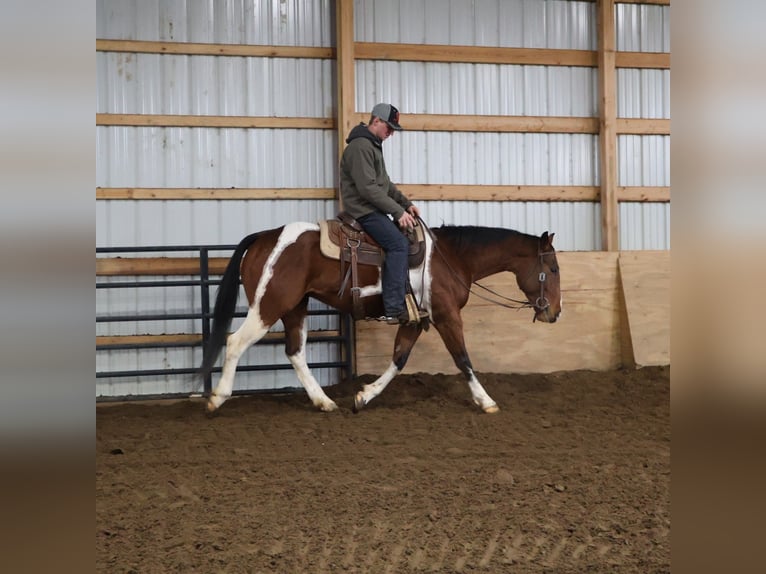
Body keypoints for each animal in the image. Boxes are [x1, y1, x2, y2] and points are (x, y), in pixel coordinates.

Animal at [199, 220, 561, 414]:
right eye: (554, 268)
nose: (555, 312)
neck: (450, 258)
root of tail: (264, 237)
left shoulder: (414, 319)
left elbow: (399, 359)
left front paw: (364, 395)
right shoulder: (446, 316)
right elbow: (463, 359)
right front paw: (486, 400)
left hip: (295, 308)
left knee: (295, 353)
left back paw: (323, 401)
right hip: (269, 305)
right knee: (235, 342)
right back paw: (217, 398)